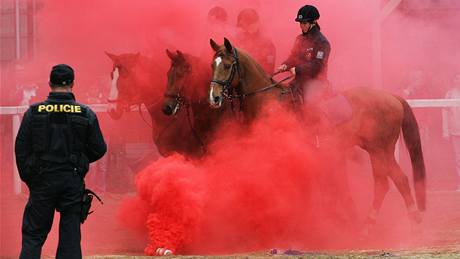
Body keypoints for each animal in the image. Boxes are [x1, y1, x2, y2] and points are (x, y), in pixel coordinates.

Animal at [207, 37, 426, 229]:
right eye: (212, 65)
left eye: (227, 65)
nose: (214, 98)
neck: (269, 101)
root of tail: (393, 97)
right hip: (378, 151)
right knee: (391, 182)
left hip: (381, 151)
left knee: (393, 181)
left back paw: (398, 223)